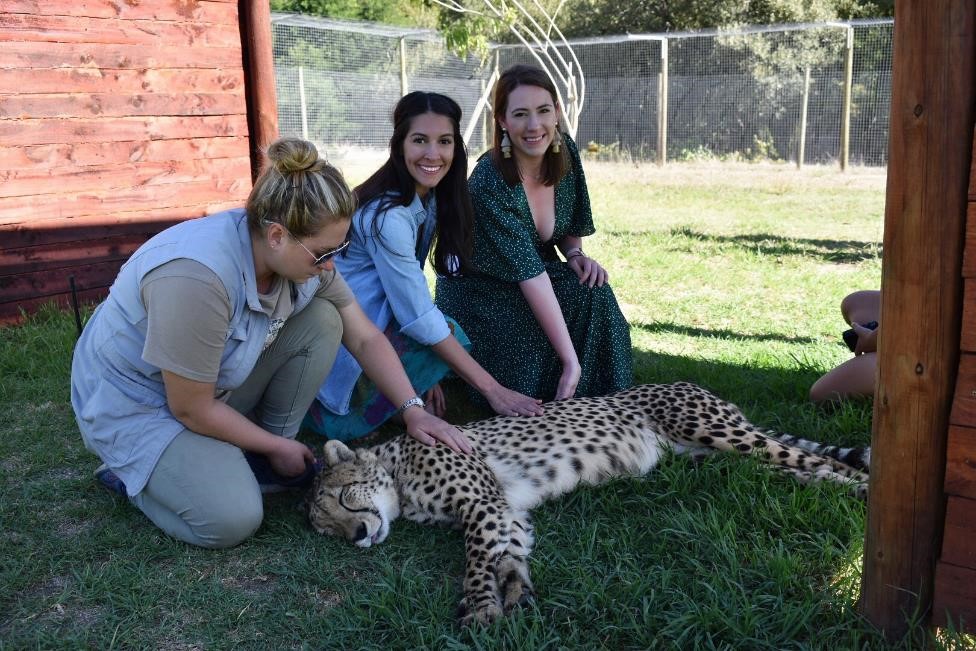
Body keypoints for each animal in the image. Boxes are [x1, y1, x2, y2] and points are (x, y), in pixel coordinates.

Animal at [304, 382, 868, 628]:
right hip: (710, 458)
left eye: (341, 498)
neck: (398, 471)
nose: (358, 537)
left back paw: (863, 485)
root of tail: (693, 384)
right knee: (796, 469)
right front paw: (517, 596)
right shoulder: (505, 510)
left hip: (715, 431)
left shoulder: (483, 503)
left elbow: (476, 561)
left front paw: (482, 609)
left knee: (818, 459)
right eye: (327, 530)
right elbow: (509, 555)